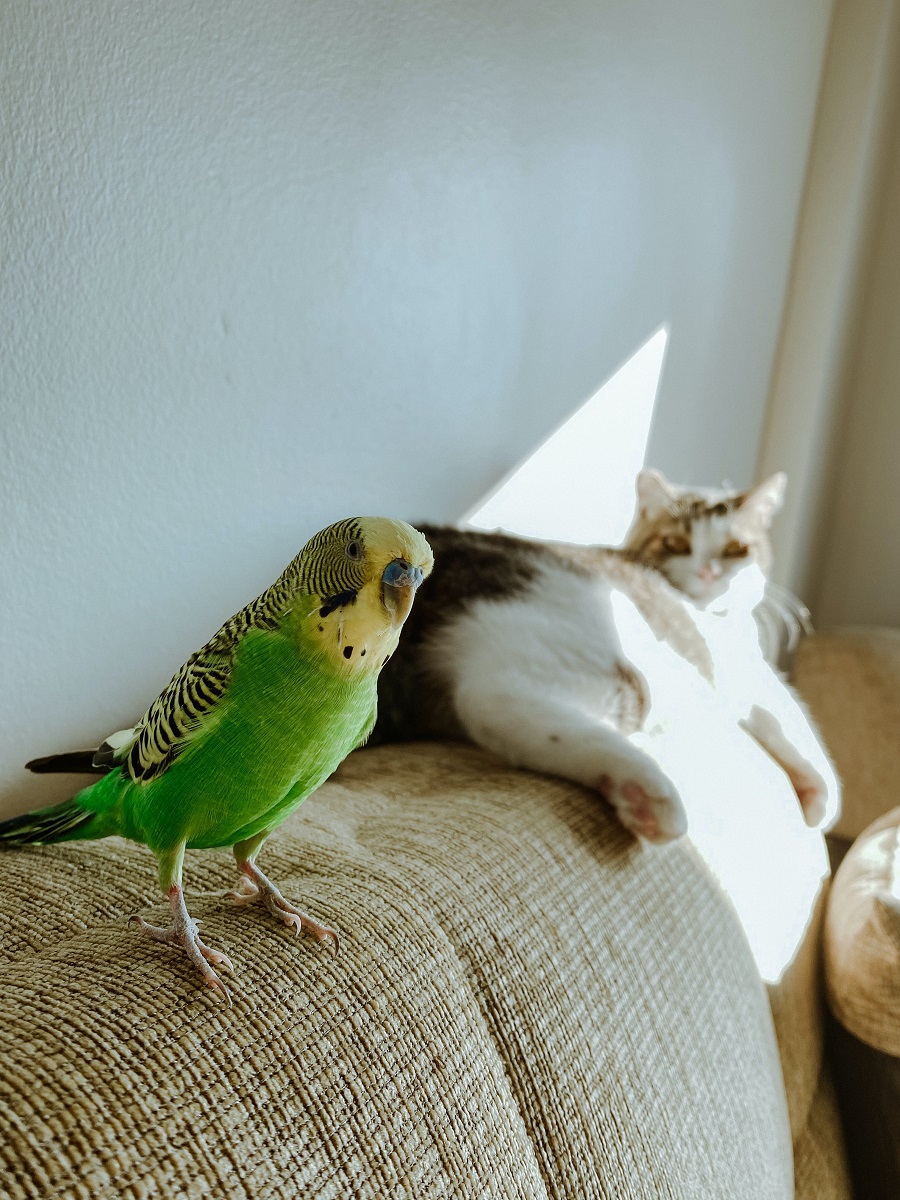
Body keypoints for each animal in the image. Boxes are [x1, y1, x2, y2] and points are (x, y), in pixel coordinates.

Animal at [372, 468, 840, 844]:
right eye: (677, 543)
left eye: (735, 550)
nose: (709, 573)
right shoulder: (753, 674)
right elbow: (795, 721)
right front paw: (823, 799)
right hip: (593, 642)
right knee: (494, 697)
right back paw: (650, 791)